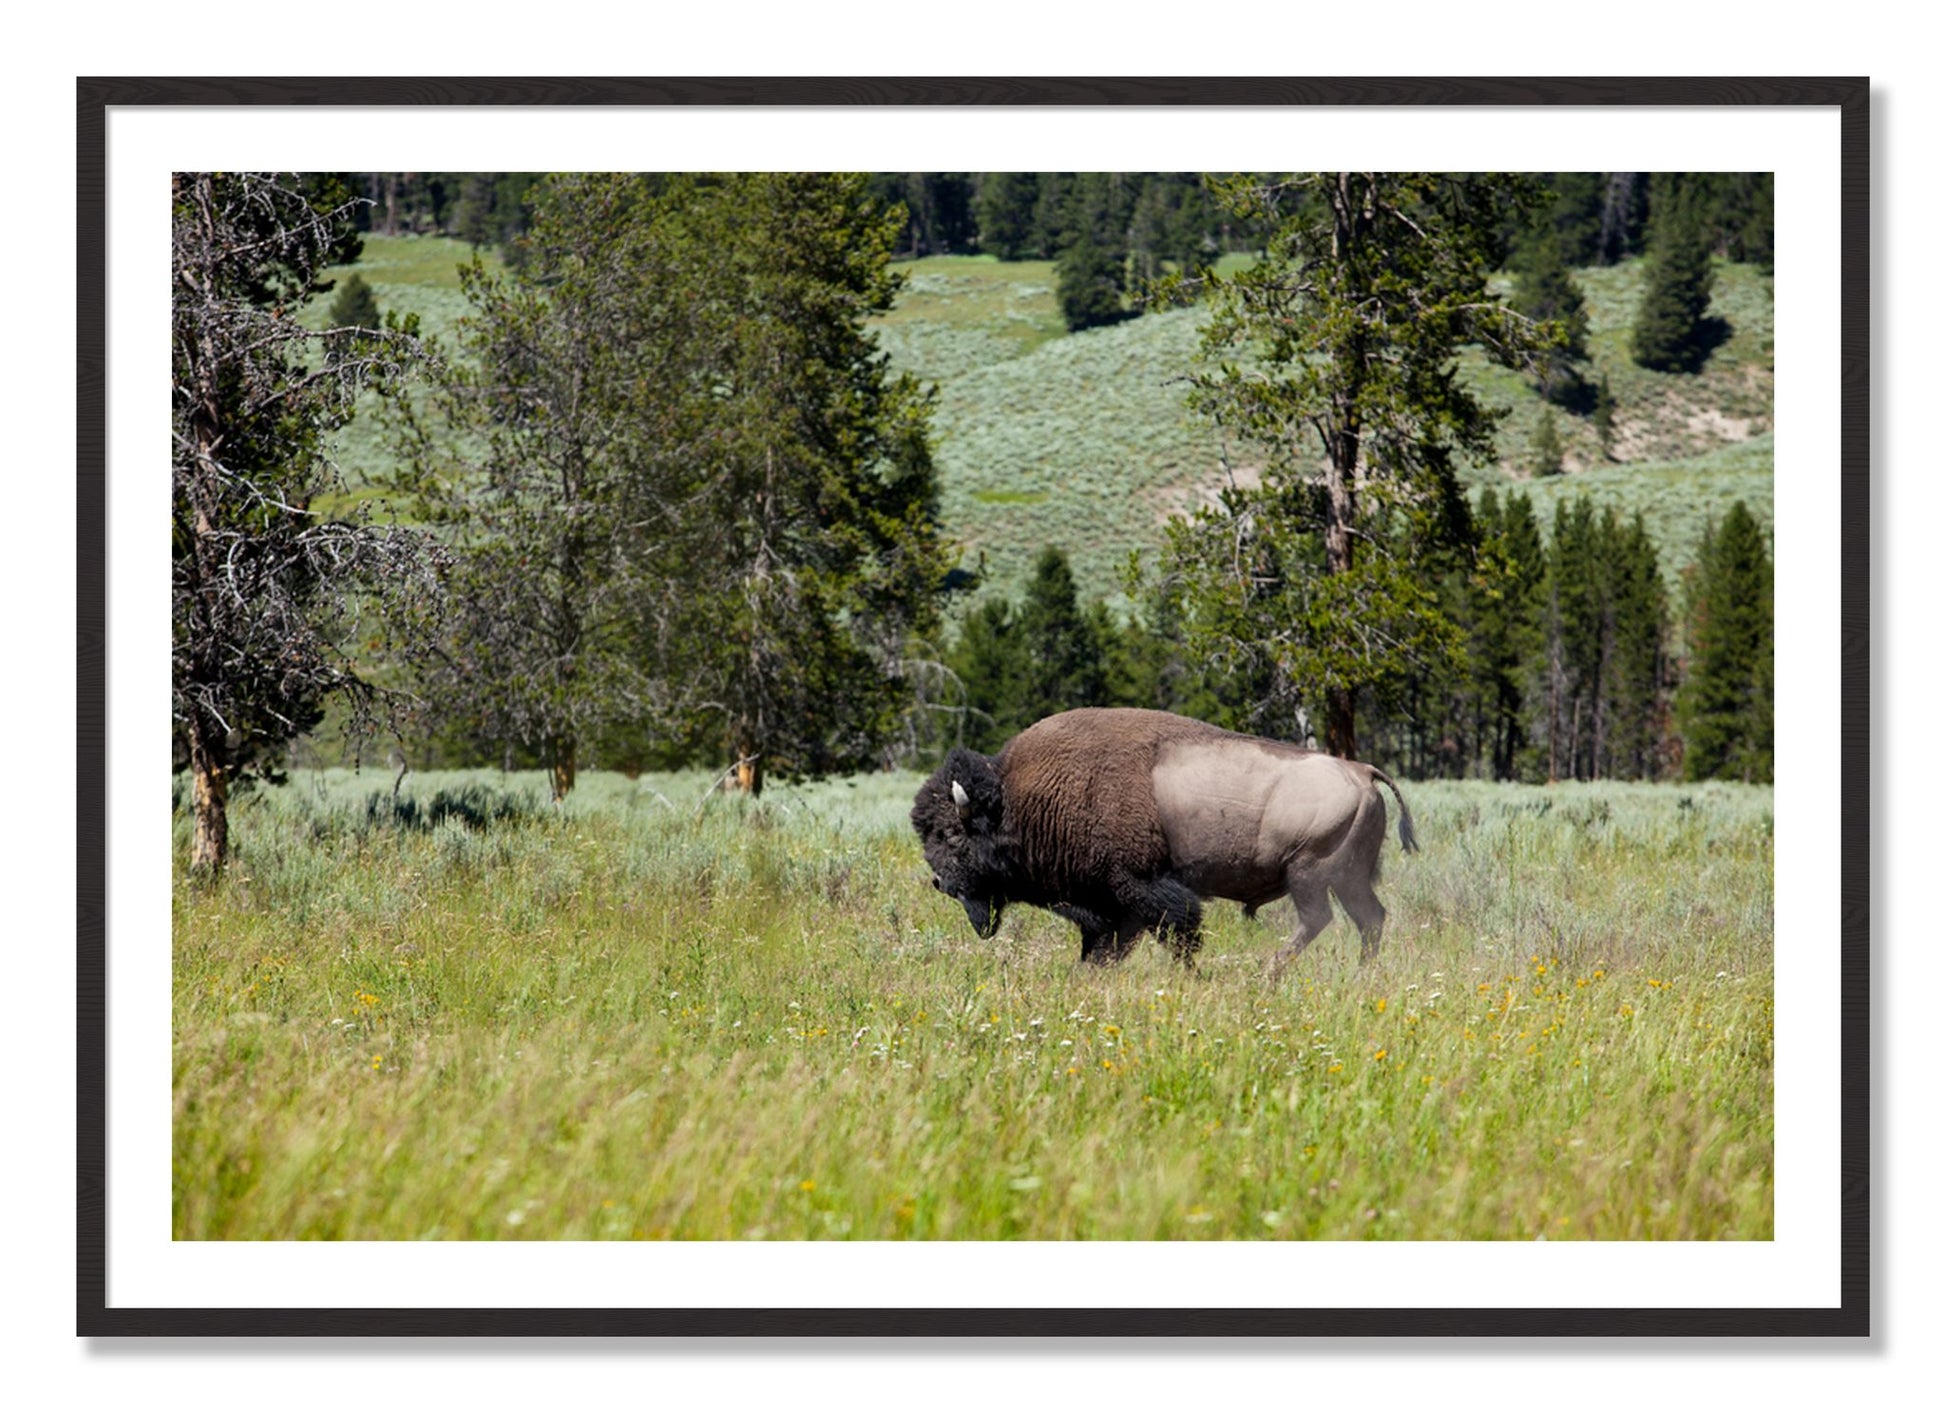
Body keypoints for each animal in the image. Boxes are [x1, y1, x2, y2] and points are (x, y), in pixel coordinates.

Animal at [911, 707, 1418, 970]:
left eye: (952, 835)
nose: (940, 883)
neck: (1018, 799)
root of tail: (1361, 771)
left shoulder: (1141, 889)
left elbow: (1178, 933)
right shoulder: (1111, 907)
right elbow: (1104, 948)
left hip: (1309, 874)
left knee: (1319, 920)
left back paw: (1268, 973)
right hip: (1347, 879)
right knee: (1369, 919)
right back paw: (1359, 974)